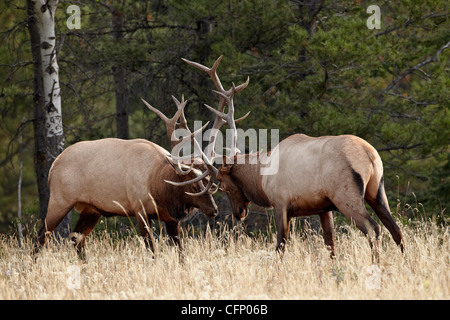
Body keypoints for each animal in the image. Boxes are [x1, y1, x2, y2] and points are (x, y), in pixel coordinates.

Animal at [31, 95, 218, 260]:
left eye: (209, 183)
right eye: (194, 186)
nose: (214, 210)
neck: (157, 185)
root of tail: (52, 168)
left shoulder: (171, 219)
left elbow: (181, 253)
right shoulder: (140, 210)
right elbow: (152, 250)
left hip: (91, 209)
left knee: (76, 237)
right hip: (60, 201)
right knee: (40, 237)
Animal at [183, 55, 404, 260]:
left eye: (223, 184)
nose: (239, 213)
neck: (261, 177)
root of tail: (369, 154)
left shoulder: (281, 203)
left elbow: (280, 246)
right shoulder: (323, 208)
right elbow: (330, 245)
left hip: (346, 195)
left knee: (374, 229)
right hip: (377, 191)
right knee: (396, 230)